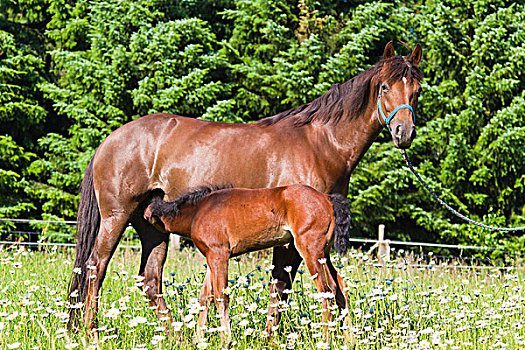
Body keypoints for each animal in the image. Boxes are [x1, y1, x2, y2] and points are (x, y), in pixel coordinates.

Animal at [142, 185, 352, 340]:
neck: (199, 211)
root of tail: (327, 198)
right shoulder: (212, 258)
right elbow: (205, 296)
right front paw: (198, 340)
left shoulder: (219, 255)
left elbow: (221, 296)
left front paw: (225, 340)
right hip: (323, 252)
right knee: (340, 286)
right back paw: (348, 338)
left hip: (310, 249)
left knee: (327, 288)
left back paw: (326, 338)